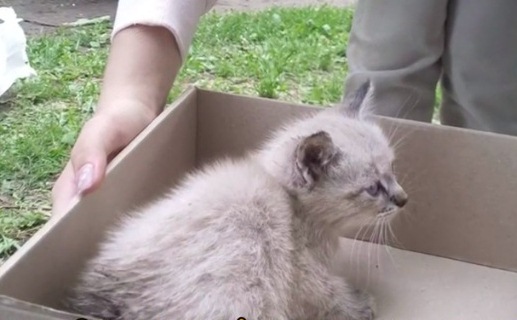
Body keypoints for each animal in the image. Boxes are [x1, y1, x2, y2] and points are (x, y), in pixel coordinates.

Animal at [65, 81, 408, 320]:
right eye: (373, 188)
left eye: (393, 169)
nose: (404, 199)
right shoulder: (304, 276)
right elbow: (331, 296)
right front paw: (362, 304)